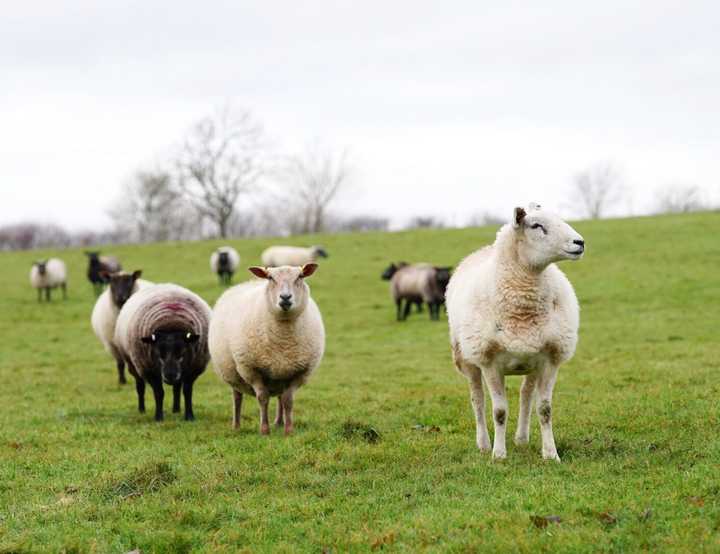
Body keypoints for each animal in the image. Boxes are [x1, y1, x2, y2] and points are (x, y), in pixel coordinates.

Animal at [114, 284, 212, 421]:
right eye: (158, 355)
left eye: (182, 353)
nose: (170, 375)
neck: (171, 323)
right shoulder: (149, 370)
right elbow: (159, 393)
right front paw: (158, 417)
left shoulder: (193, 369)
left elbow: (187, 391)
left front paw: (189, 416)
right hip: (134, 364)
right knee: (140, 386)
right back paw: (141, 410)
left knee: (176, 387)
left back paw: (176, 409)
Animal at [209, 264, 325, 435]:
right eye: (270, 278)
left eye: (300, 276)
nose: (285, 297)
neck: (283, 341)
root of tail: (248, 282)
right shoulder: (252, 370)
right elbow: (263, 398)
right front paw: (264, 430)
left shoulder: (298, 372)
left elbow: (288, 401)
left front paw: (288, 430)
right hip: (233, 373)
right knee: (237, 397)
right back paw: (236, 426)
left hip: (281, 373)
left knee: (280, 397)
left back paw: (279, 422)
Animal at [446, 203, 585, 461]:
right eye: (536, 226)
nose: (579, 242)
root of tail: (484, 250)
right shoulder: (490, 362)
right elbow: (499, 411)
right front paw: (499, 455)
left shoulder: (550, 359)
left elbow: (545, 409)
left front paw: (551, 454)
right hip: (466, 358)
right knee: (477, 400)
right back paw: (483, 444)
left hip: (532, 361)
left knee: (526, 394)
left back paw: (521, 438)